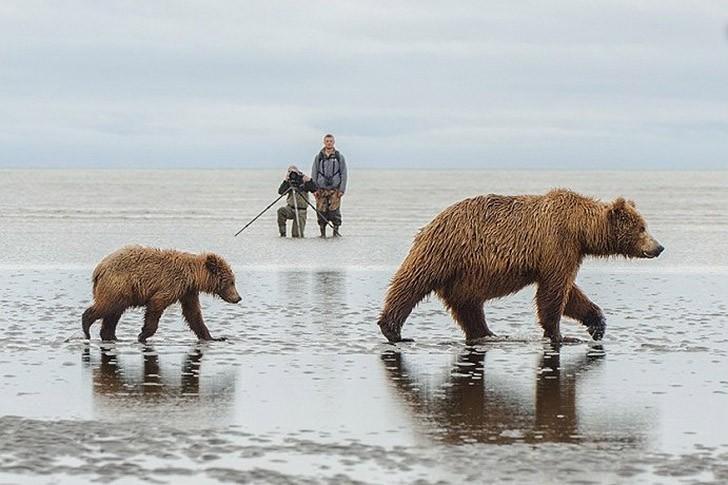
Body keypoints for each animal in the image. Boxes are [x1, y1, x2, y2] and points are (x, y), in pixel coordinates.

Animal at [81, 246, 242, 344]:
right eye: (231, 282)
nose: (238, 298)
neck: (193, 276)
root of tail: (99, 269)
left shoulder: (188, 291)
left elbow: (193, 314)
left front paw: (214, 337)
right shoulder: (173, 283)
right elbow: (156, 304)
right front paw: (143, 335)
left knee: (113, 313)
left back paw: (111, 336)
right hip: (119, 285)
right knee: (108, 306)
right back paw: (87, 327)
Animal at [378, 189, 664, 344]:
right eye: (642, 228)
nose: (659, 247)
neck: (581, 229)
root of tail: (431, 223)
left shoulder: (568, 252)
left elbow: (570, 293)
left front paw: (597, 325)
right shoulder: (557, 245)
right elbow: (553, 293)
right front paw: (560, 334)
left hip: (465, 275)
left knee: (468, 305)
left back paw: (487, 333)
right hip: (445, 251)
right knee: (412, 282)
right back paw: (393, 330)